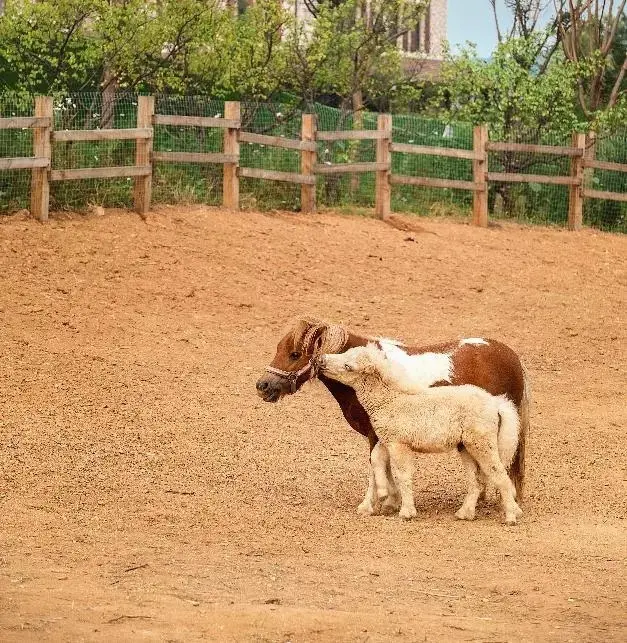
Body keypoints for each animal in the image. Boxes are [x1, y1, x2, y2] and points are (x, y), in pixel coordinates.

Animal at [255, 318, 528, 520]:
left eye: (294, 354)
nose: (263, 386)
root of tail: (511, 356)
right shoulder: (381, 436)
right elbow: (383, 465)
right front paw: (390, 501)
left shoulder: (376, 435)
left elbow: (376, 466)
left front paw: (377, 502)